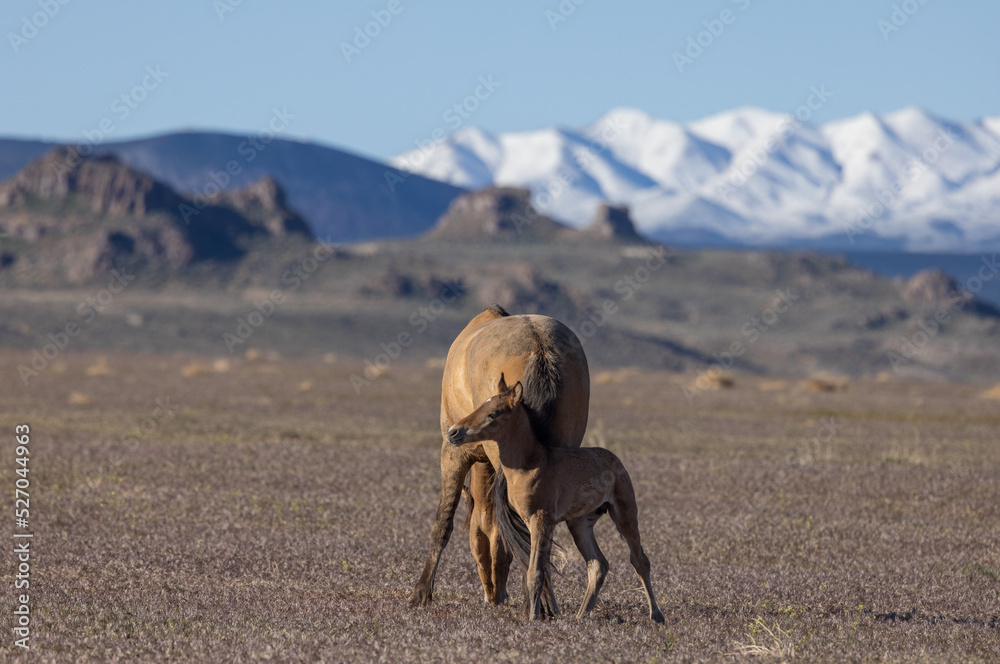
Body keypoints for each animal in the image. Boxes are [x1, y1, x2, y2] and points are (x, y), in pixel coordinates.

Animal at [446, 376, 664, 624]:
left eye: (493, 413)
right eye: (481, 406)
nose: (453, 433)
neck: (529, 464)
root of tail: (614, 459)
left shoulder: (541, 519)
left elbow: (536, 571)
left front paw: (533, 619)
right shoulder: (530, 521)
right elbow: (535, 568)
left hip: (624, 513)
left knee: (639, 560)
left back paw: (656, 615)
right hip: (580, 523)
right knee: (598, 564)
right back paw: (580, 616)